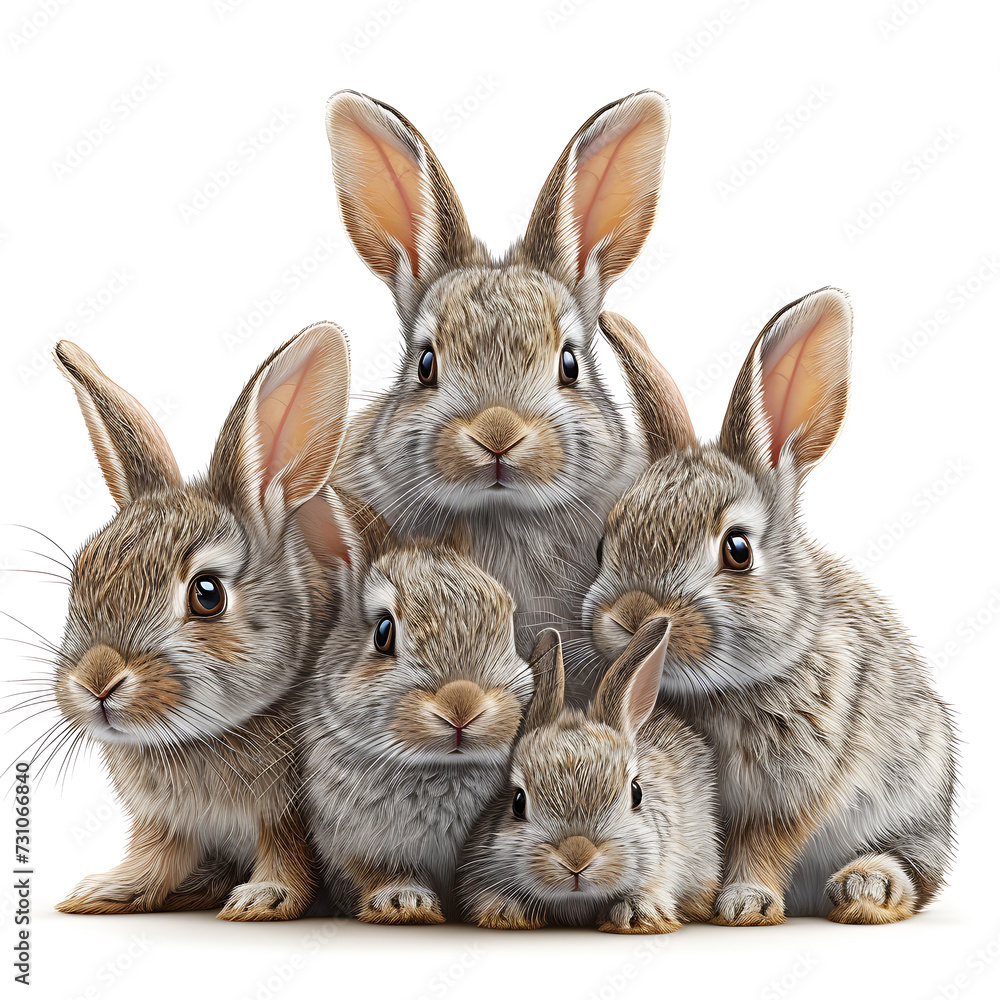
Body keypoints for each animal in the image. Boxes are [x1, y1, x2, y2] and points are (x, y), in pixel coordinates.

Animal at [50, 321, 353, 920]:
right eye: (79, 575)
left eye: (207, 594)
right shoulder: (167, 821)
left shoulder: (290, 814)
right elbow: (158, 854)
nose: (96, 681)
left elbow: (289, 854)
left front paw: (264, 898)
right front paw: (103, 891)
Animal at [299, 508, 535, 924]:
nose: (462, 706)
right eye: (383, 631)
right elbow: (381, 873)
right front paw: (404, 903)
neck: (442, 768)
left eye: (507, 625)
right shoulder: (353, 848)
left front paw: (506, 911)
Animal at [582, 295, 957, 925]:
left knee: (918, 871)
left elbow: (765, 842)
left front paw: (744, 904)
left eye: (738, 550)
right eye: (603, 543)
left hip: (919, 799)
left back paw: (868, 888)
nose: (633, 616)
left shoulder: (794, 785)